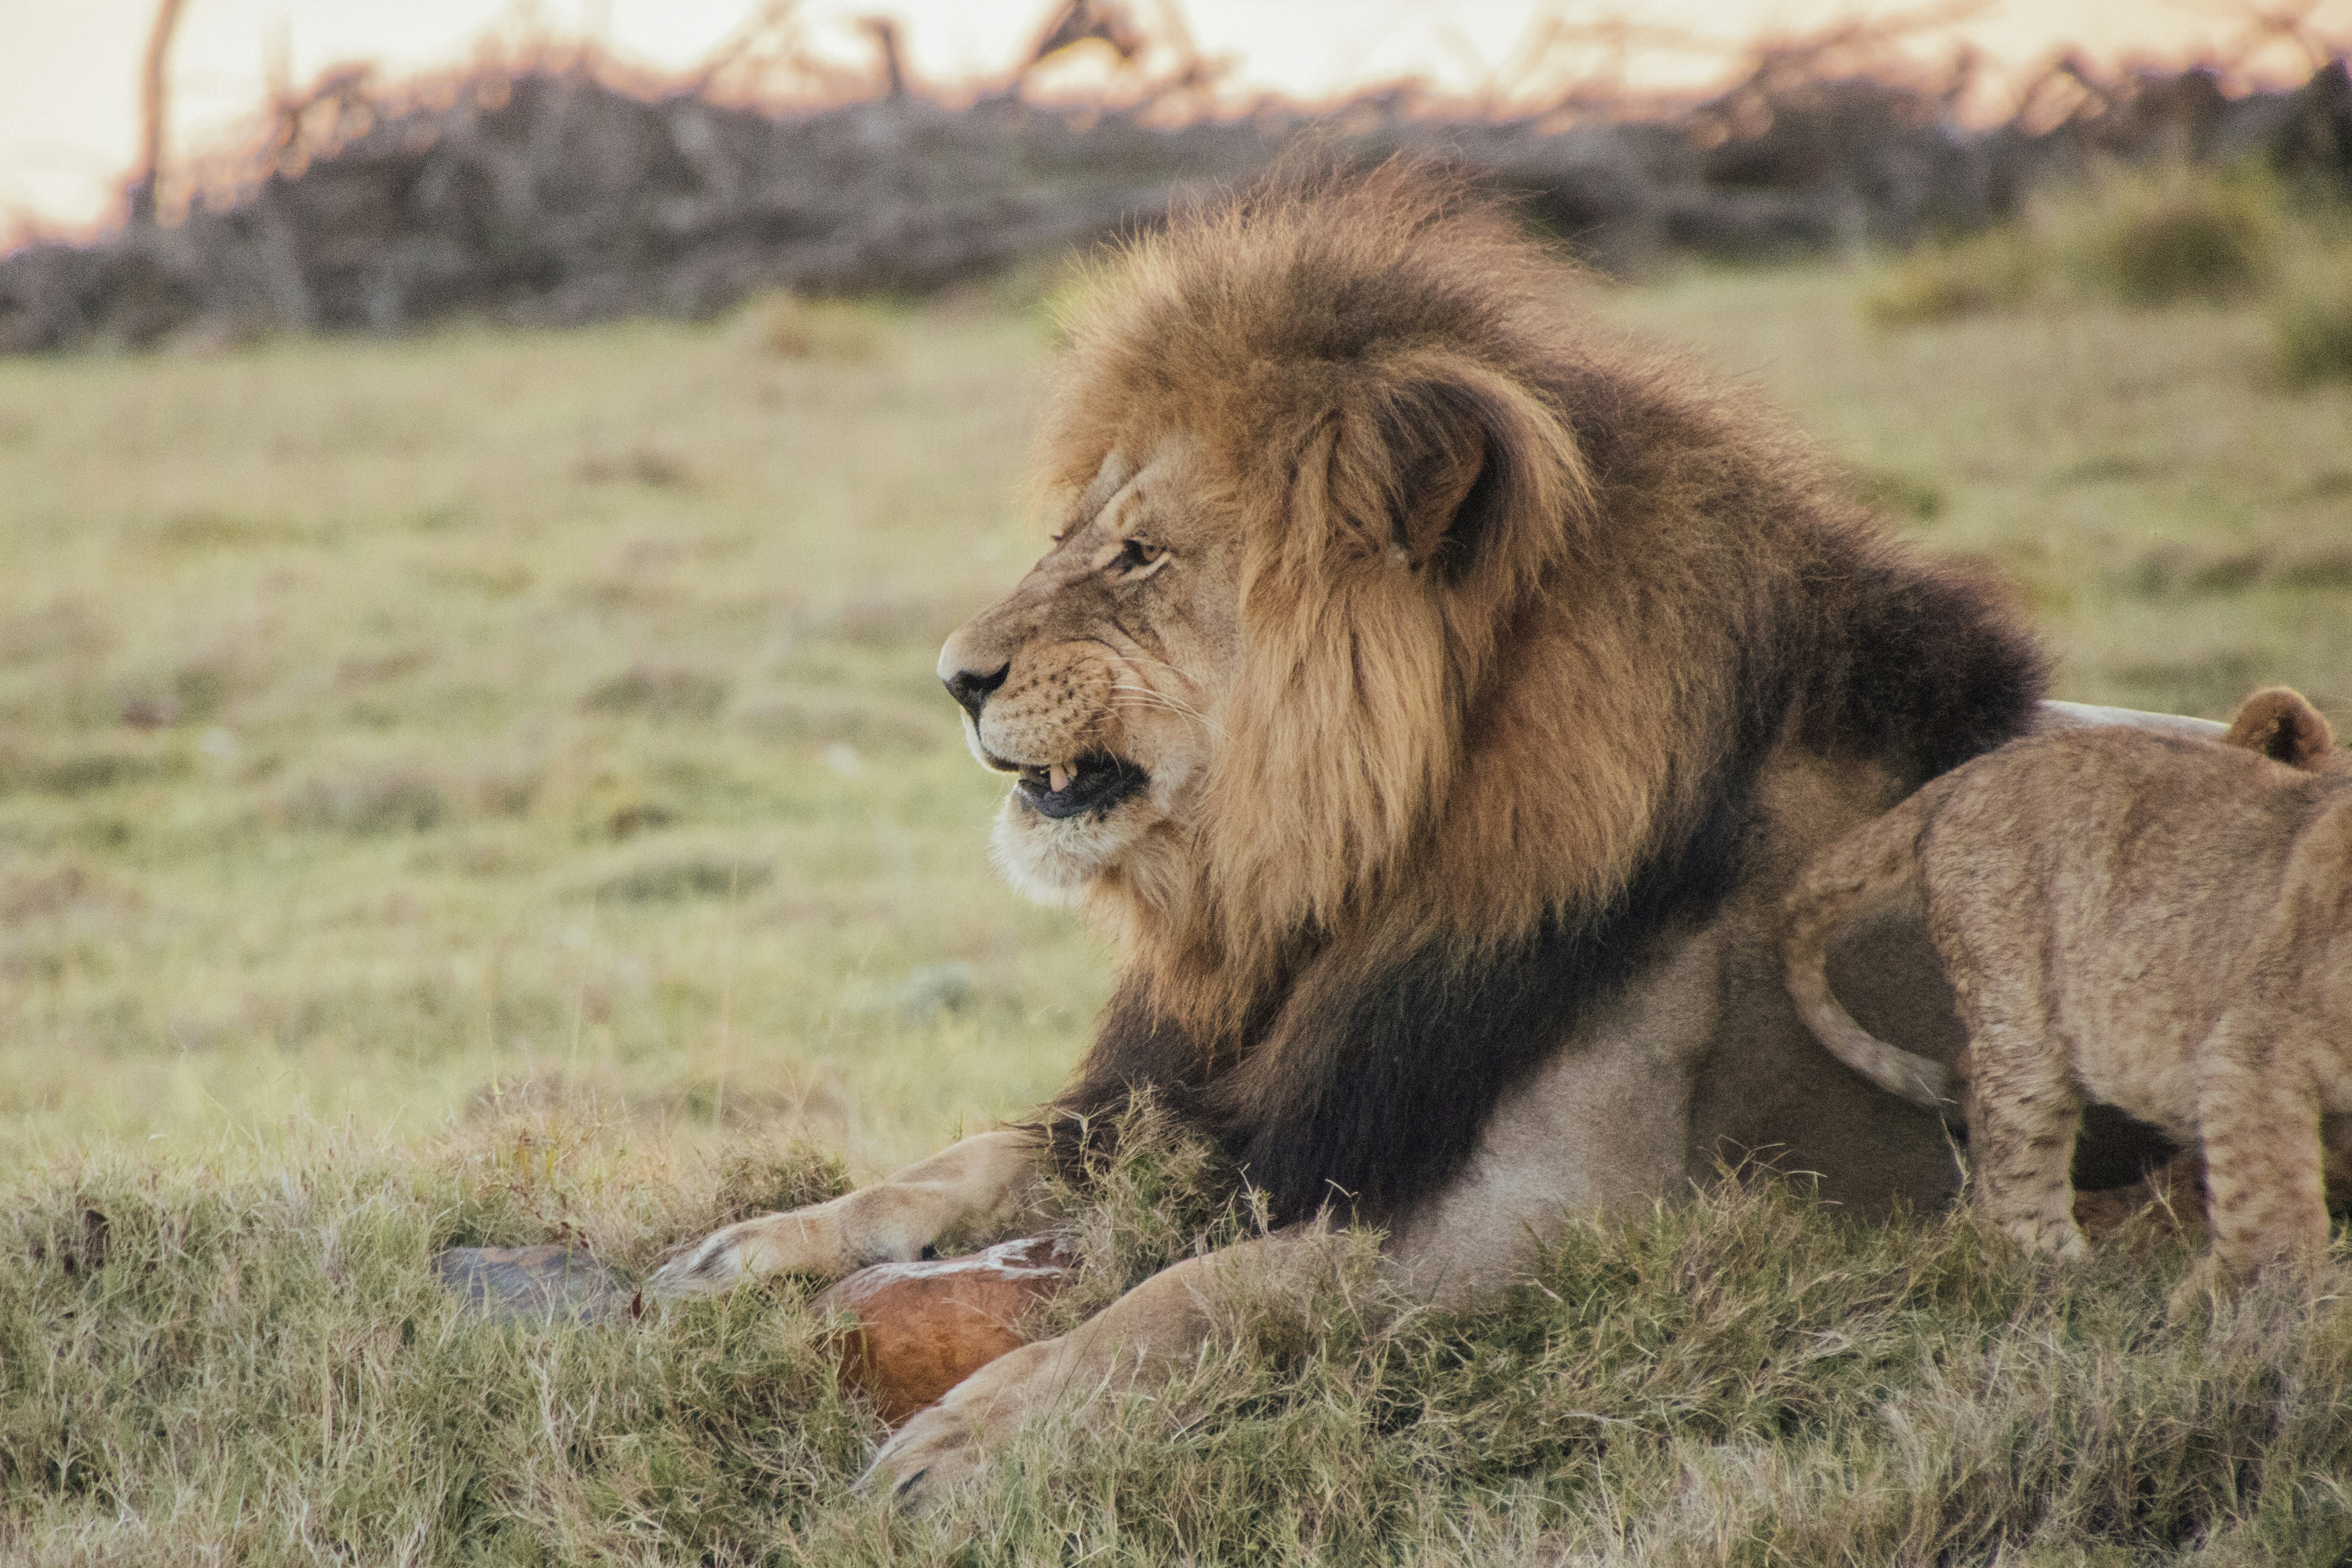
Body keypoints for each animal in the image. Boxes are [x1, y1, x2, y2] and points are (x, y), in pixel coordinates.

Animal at [649, 163, 2183, 1499]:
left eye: (1138, 555)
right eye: (1072, 534)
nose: (953, 677)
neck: (1344, 878)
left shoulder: (1561, 1216)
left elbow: (1197, 1293)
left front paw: (969, 1439)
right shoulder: (1246, 1087)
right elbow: (973, 1155)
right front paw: (748, 1247)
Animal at [1782, 688, 2352, 1273]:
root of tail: (1963, 778)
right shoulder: (2250, 1046)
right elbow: (2271, 1204)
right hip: (2019, 1007)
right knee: (2014, 1145)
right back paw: (2057, 1261)